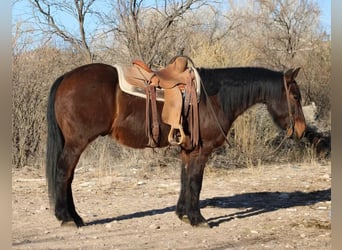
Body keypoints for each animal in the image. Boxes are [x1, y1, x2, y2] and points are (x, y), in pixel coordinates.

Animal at [45, 59, 304, 227]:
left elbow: (184, 179)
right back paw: (66, 218)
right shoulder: (201, 151)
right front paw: (198, 219)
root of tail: (65, 78)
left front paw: (183, 214)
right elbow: (196, 182)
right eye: (295, 96)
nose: (301, 130)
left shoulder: (187, 150)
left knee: (68, 177)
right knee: (63, 173)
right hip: (76, 143)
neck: (214, 97)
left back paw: (75, 217)